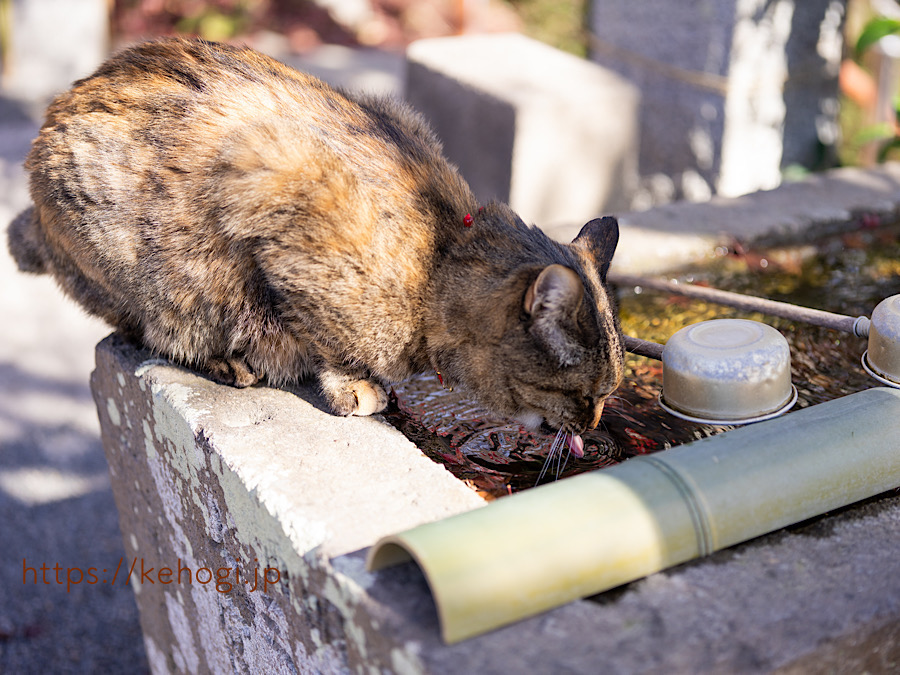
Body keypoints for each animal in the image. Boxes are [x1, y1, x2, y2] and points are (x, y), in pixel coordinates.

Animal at [7, 39, 624, 446]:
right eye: (587, 394)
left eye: (608, 393)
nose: (593, 426)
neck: (439, 256)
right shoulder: (271, 187)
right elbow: (320, 332)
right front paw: (352, 382)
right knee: (148, 324)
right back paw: (228, 361)